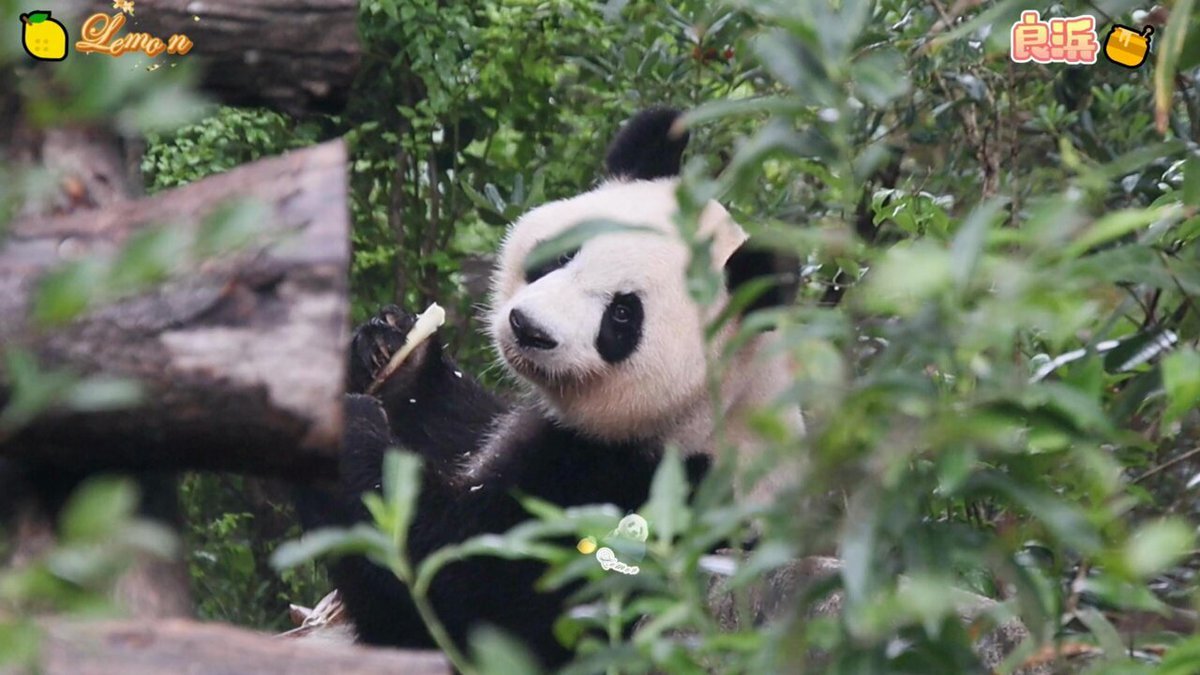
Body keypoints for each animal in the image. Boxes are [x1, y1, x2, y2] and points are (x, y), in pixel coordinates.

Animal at [308, 108, 803, 666]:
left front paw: (352, 431)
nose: (528, 328)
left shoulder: (643, 488)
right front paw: (391, 346)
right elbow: (462, 429)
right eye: (564, 254)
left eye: (623, 314)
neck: (710, 406)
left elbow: (463, 595)